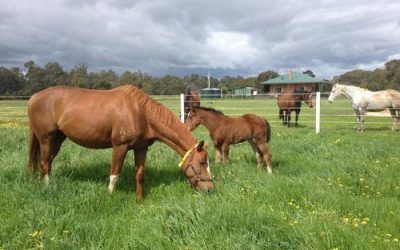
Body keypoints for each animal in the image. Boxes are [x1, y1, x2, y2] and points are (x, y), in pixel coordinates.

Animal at [28, 85, 214, 198]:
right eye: (202, 162)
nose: (210, 189)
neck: (141, 112)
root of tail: (34, 97)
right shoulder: (120, 147)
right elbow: (114, 174)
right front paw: (110, 196)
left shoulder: (141, 148)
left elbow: (139, 175)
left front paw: (139, 199)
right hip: (46, 139)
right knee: (44, 164)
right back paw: (47, 188)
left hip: (57, 139)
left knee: (48, 164)